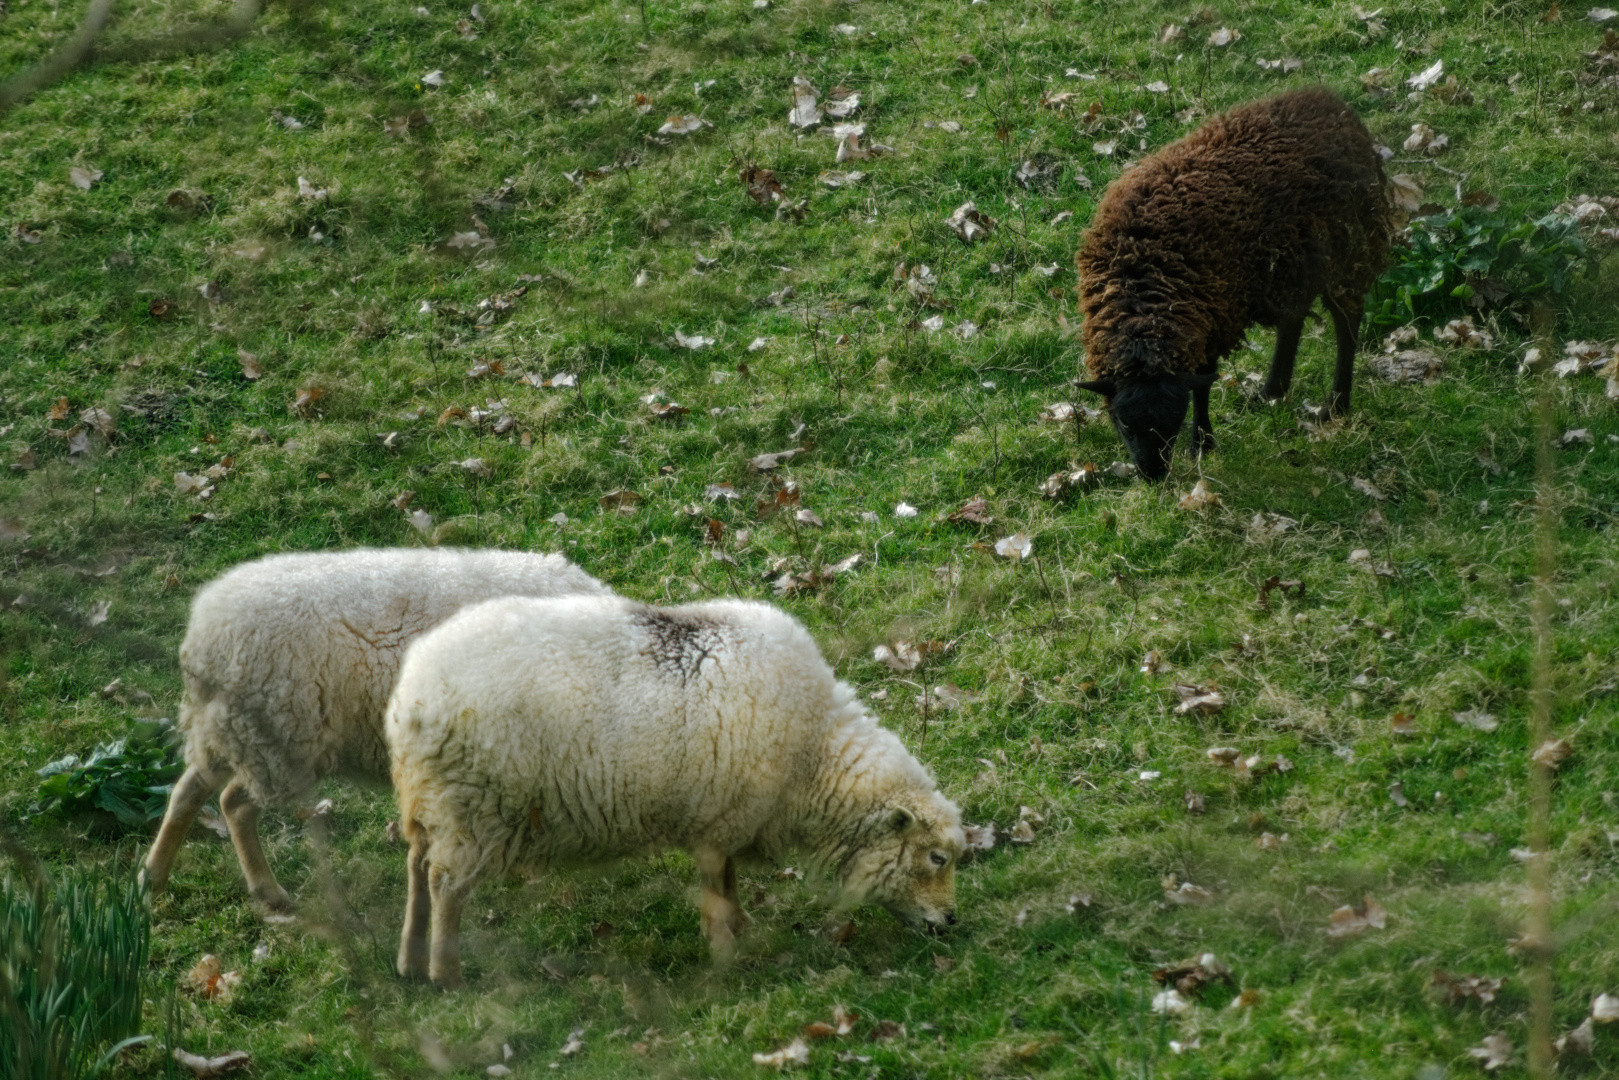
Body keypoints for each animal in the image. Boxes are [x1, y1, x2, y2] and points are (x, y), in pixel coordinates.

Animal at [142, 547, 612, 910]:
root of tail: (202, 638)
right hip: (278, 735)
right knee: (234, 803)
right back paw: (268, 891)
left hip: (231, 730)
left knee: (188, 790)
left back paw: (153, 877)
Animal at [386, 593, 964, 988]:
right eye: (936, 857)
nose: (951, 922)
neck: (814, 755)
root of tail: (411, 693)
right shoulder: (718, 821)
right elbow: (716, 888)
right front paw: (727, 956)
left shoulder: (724, 818)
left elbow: (727, 882)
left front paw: (742, 929)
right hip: (473, 806)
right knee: (444, 884)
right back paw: (447, 975)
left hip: (431, 802)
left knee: (416, 866)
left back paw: (409, 961)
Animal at [1075, 86, 1393, 480]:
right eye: (1123, 422)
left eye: (1174, 421)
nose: (1154, 476)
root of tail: (1333, 104)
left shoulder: (1211, 315)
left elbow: (1202, 384)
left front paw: (1202, 444)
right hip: (1293, 264)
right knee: (1294, 319)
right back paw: (1272, 391)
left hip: (1348, 251)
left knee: (1347, 325)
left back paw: (1335, 406)